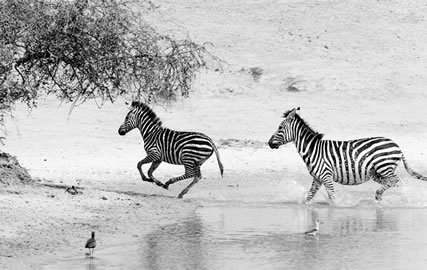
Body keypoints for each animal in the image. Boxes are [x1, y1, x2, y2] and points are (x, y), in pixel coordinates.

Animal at [270, 107, 426, 202]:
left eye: (280, 128)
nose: (269, 143)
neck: (312, 149)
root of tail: (397, 145)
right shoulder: (317, 178)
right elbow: (309, 196)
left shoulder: (326, 176)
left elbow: (332, 198)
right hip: (376, 172)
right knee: (394, 183)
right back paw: (383, 198)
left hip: (384, 167)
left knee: (397, 182)